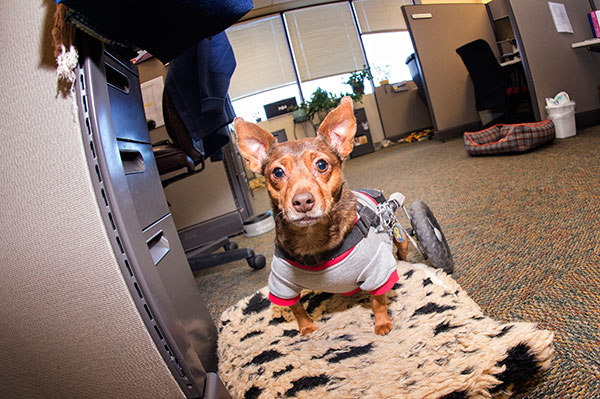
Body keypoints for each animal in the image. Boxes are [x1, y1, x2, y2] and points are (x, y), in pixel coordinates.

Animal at [234, 97, 408, 338]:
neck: (312, 239)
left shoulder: (378, 270)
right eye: (277, 172)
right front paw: (306, 328)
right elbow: (297, 308)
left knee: (401, 248)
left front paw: (381, 323)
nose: (302, 201)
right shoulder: (281, 285)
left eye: (322, 165)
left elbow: (378, 300)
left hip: (399, 235)